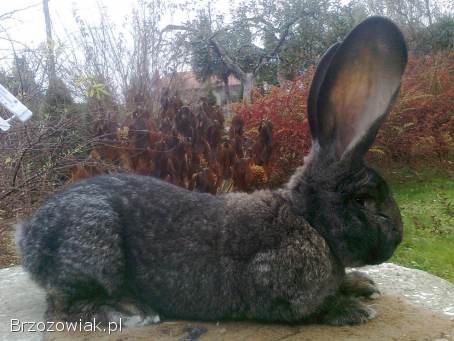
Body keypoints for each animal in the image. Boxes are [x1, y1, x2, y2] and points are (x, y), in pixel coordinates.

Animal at [19, 16, 406, 326]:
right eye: (362, 200)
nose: (398, 239)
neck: (310, 221)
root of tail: (27, 237)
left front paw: (362, 284)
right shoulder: (275, 287)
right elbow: (312, 309)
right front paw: (352, 309)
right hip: (94, 245)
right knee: (61, 306)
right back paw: (130, 312)